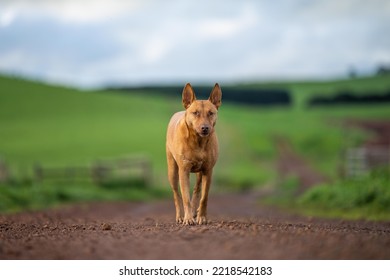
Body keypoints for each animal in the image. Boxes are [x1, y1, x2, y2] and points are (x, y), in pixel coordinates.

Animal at [165, 83, 222, 225]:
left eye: (211, 113)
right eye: (195, 113)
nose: (205, 128)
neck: (198, 141)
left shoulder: (208, 170)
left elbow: (204, 197)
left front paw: (201, 217)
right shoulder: (184, 170)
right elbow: (185, 196)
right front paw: (188, 218)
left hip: (199, 172)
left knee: (197, 189)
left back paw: (195, 211)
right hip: (172, 170)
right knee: (176, 194)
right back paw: (180, 216)